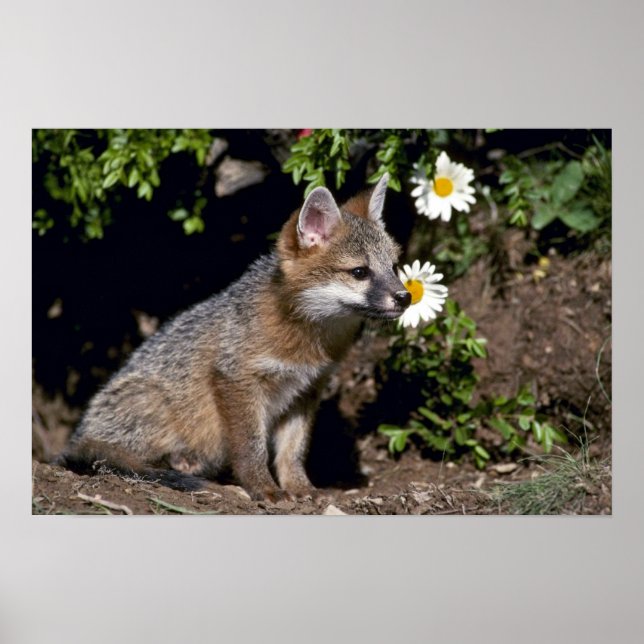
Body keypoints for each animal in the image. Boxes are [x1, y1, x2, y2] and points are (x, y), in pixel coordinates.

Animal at [59, 173, 411, 501]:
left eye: (394, 267)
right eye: (360, 272)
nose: (405, 297)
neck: (307, 342)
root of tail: (81, 435)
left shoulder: (305, 390)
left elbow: (293, 451)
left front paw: (300, 487)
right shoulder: (235, 379)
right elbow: (252, 447)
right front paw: (263, 488)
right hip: (157, 404)